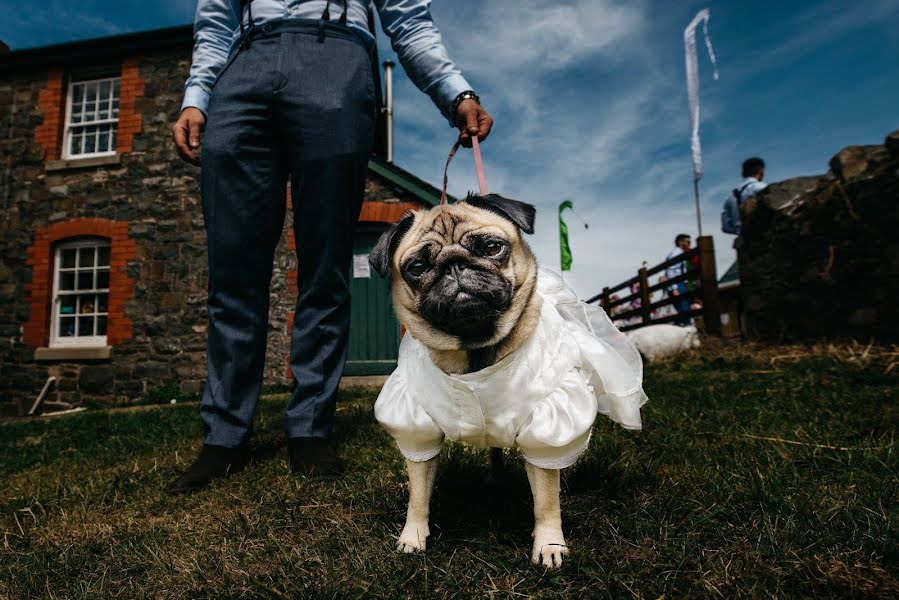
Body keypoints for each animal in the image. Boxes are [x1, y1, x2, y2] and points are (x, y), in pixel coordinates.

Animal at [372, 195, 576, 568]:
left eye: (493, 248)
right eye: (417, 267)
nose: (455, 265)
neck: (475, 349)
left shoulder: (546, 424)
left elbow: (545, 500)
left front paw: (550, 544)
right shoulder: (417, 427)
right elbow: (418, 494)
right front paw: (413, 535)